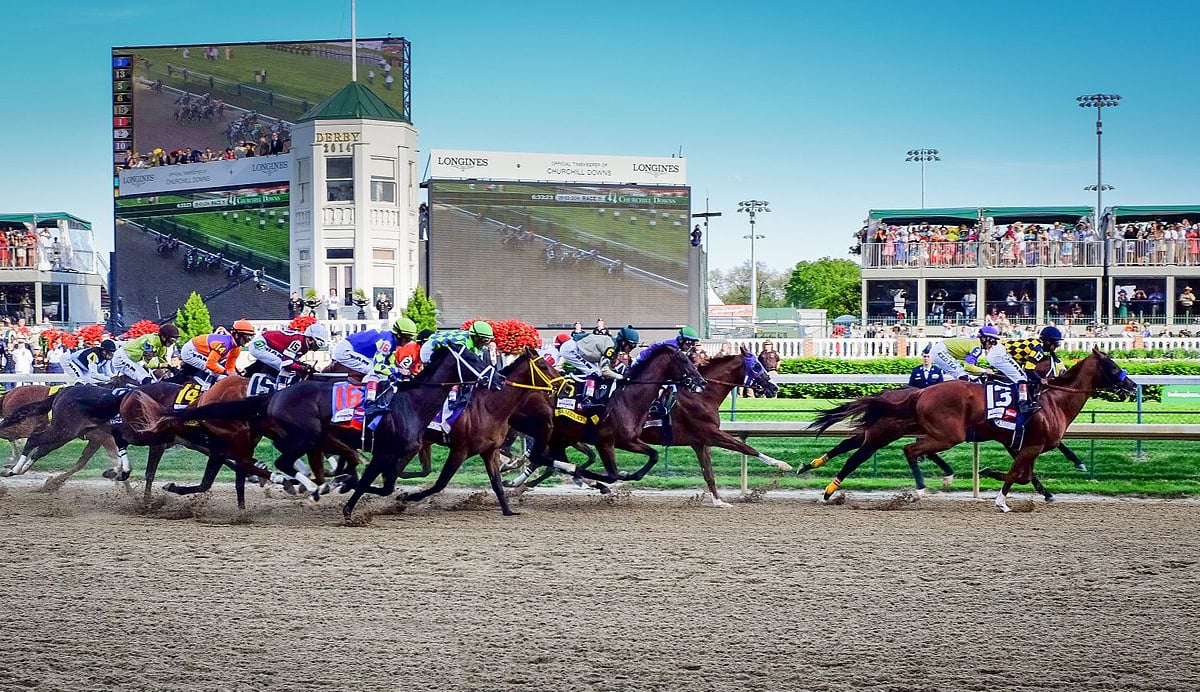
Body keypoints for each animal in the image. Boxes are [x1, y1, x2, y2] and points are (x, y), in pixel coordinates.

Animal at [811, 347, 1137, 510]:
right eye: (1112, 366)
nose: (1132, 386)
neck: (1051, 399)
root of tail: (919, 393)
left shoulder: (1021, 443)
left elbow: (1026, 474)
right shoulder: (1028, 445)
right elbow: (1018, 475)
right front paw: (1000, 499)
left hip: (907, 430)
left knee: (859, 446)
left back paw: (817, 471)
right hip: (934, 434)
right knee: (896, 450)